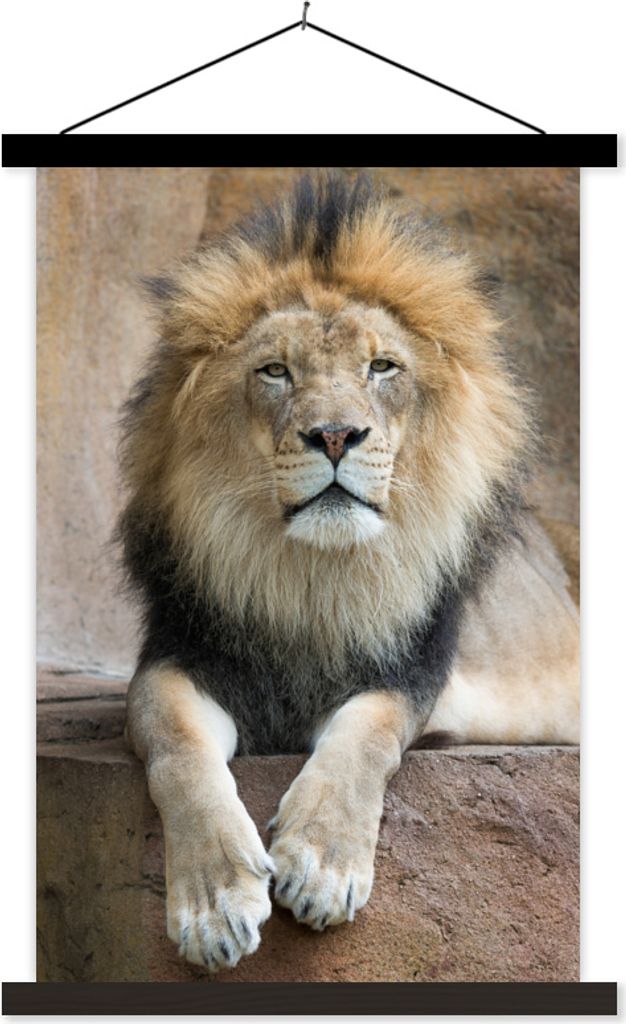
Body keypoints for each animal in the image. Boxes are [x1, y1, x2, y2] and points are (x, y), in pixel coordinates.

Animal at [120, 173, 579, 973]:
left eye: (381, 367)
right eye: (276, 371)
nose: (335, 434)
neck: (313, 577)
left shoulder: (413, 670)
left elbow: (367, 731)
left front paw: (322, 865)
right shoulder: (178, 657)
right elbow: (176, 744)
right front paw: (213, 904)